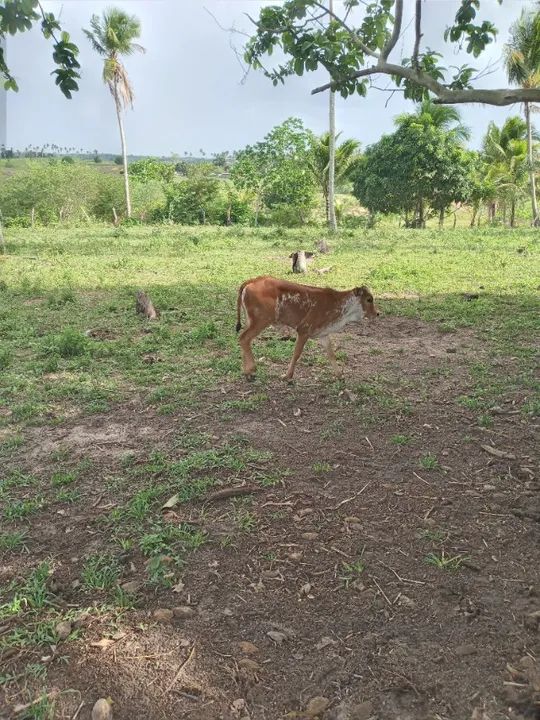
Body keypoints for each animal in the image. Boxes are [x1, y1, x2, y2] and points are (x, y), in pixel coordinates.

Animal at [235, 276, 378, 381]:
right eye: (369, 299)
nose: (377, 313)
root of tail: (252, 281)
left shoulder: (323, 333)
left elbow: (331, 354)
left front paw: (340, 376)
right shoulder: (304, 330)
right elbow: (296, 353)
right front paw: (287, 376)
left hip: (251, 320)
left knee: (244, 340)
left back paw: (246, 371)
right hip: (261, 320)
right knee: (244, 338)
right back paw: (251, 370)